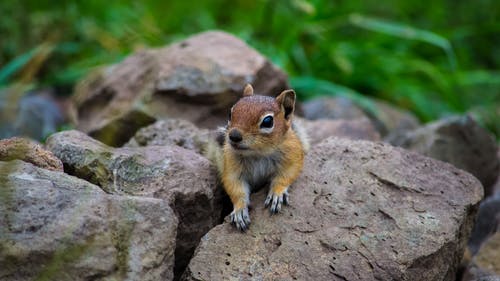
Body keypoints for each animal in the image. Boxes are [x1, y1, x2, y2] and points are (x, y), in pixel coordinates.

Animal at [206, 83, 308, 230]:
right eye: (230, 113)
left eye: (268, 121)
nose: (234, 136)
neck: (258, 154)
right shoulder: (231, 166)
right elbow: (235, 187)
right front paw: (239, 210)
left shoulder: (292, 156)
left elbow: (286, 175)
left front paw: (277, 193)